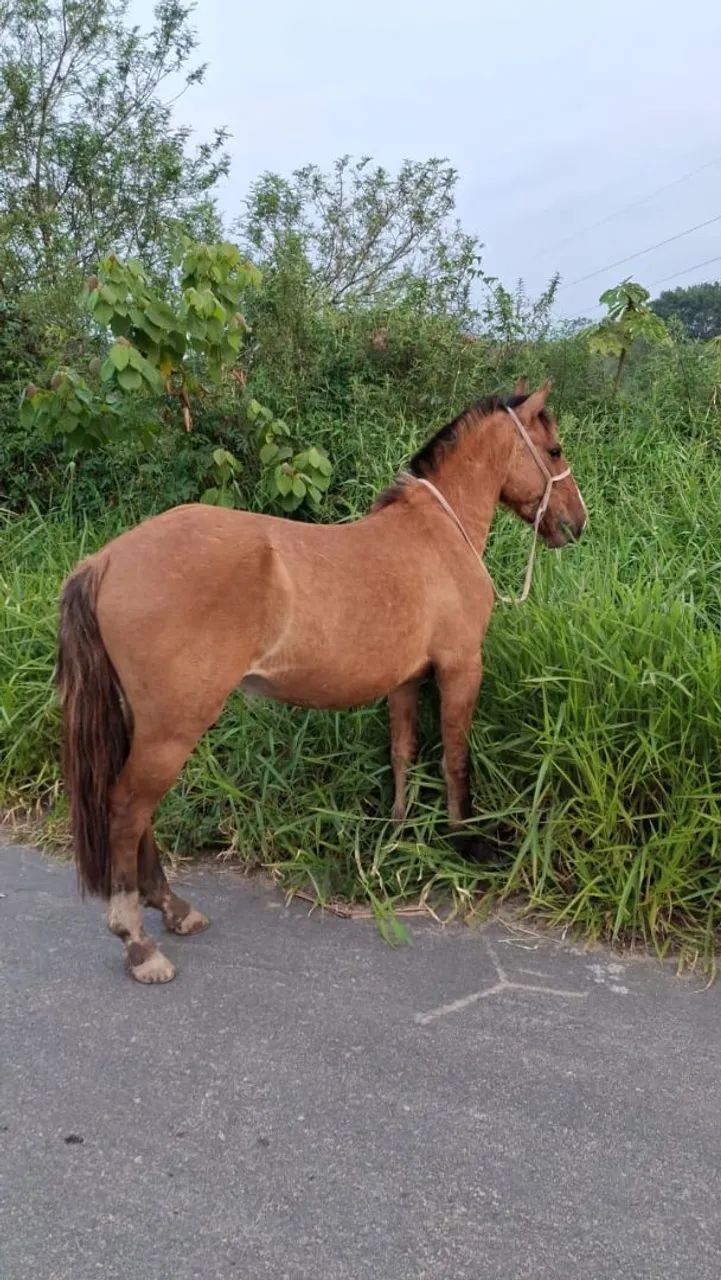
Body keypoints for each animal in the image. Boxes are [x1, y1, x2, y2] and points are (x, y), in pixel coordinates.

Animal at [57, 380, 586, 983]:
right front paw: (465, 842)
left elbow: (403, 753)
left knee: (139, 814)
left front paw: (396, 835)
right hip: (172, 728)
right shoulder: (460, 668)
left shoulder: (405, 680)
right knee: (128, 810)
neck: (436, 535)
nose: (576, 521)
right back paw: (139, 943)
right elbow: (455, 758)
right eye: (553, 450)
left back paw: (174, 909)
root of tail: (105, 560)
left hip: (143, 724)